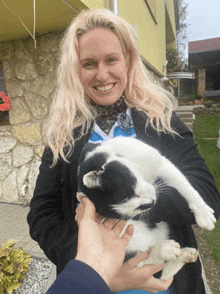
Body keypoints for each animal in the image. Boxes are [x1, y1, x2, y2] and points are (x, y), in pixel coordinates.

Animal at [76, 138, 216, 280]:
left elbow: (185, 186)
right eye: (134, 210)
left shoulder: (160, 163)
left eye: (133, 194)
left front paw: (203, 212)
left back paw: (185, 254)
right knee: (144, 263)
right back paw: (166, 250)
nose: (152, 203)